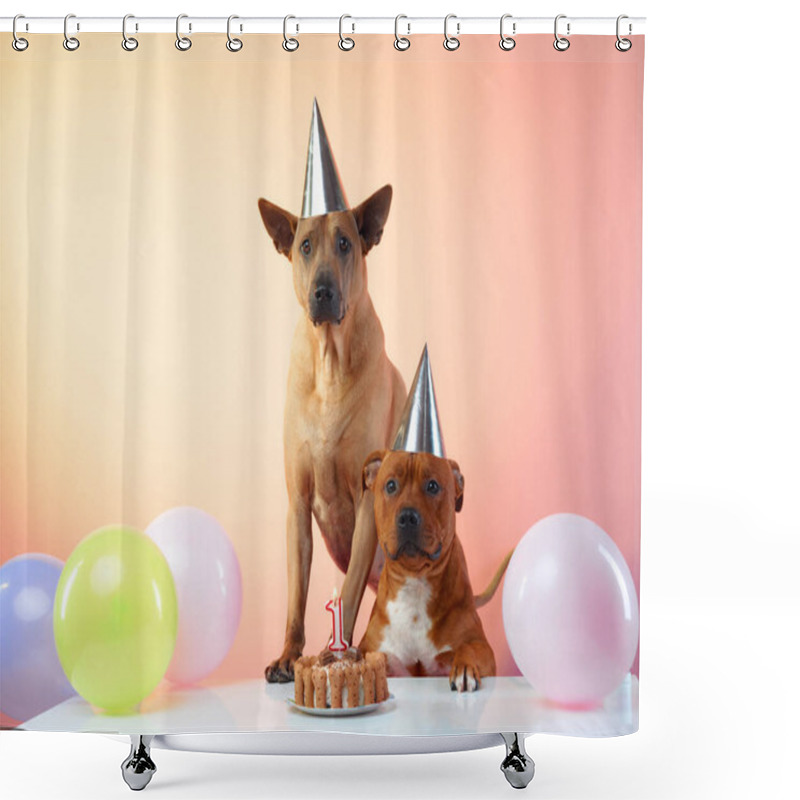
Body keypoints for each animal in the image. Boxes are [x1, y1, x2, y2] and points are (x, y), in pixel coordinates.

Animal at [258, 186, 404, 680]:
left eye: (345, 243)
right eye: (305, 245)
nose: (323, 292)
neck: (330, 363)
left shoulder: (366, 502)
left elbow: (351, 595)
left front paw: (336, 654)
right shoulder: (298, 506)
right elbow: (295, 597)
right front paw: (288, 654)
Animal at [360, 450, 510, 688]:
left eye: (432, 486)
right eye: (391, 485)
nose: (407, 516)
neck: (415, 580)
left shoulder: (483, 648)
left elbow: (468, 646)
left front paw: (464, 667)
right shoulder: (374, 649)